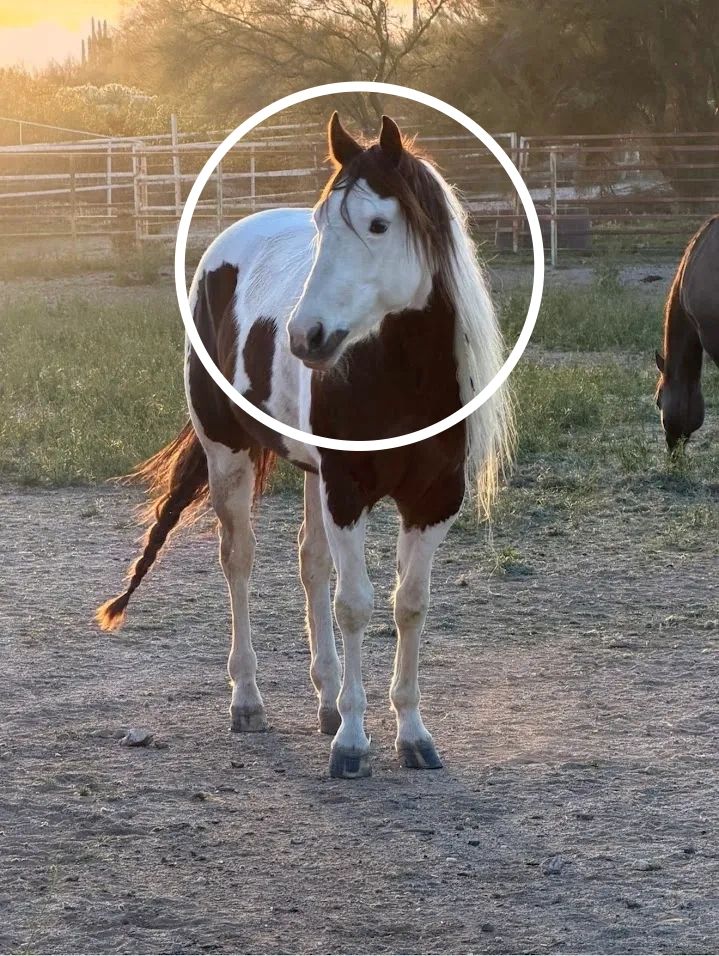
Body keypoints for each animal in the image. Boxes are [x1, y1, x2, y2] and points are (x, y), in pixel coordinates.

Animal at [96, 113, 514, 779]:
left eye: (378, 224)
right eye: (321, 225)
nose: (305, 336)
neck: (403, 376)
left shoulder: (433, 500)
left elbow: (409, 604)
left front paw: (411, 734)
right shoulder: (348, 492)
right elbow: (356, 606)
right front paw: (353, 742)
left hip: (315, 475)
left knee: (309, 562)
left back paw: (325, 701)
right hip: (229, 454)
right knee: (238, 560)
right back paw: (248, 701)